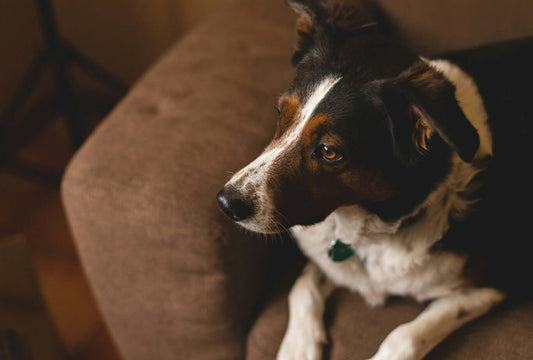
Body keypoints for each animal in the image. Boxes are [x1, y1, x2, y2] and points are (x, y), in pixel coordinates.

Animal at [215, 0, 528, 360]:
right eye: (281, 114)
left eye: (329, 151)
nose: (226, 203)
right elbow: (302, 285)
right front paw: (298, 348)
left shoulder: (494, 283)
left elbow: (405, 335)